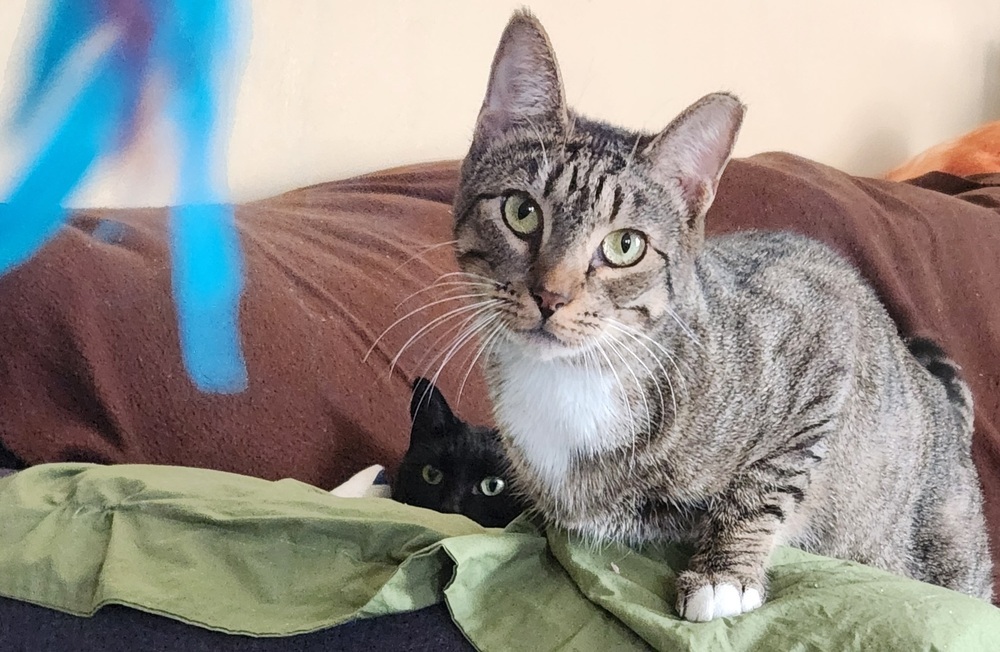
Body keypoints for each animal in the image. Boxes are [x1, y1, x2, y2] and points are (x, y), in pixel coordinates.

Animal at [452, 8, 992, 620]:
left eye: (624, 246)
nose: (551, 296)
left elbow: (768, 482)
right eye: (521, 212)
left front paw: (723, 573)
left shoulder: (825, 334)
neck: (578, 377)